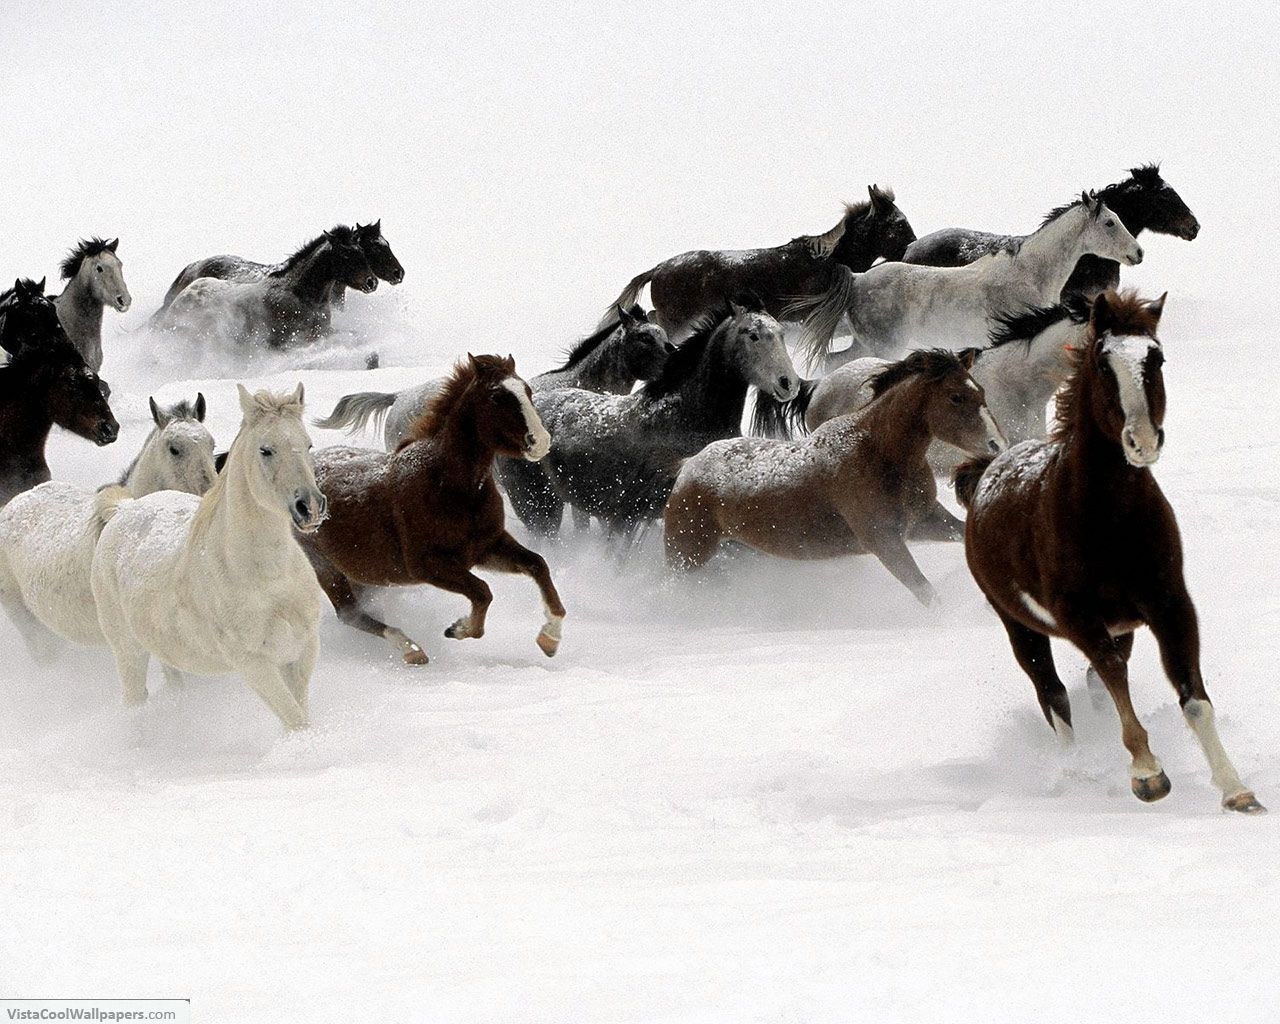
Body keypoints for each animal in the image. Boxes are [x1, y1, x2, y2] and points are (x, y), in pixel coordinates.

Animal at [91, 384, 326, 729]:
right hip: (128, 650)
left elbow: (301, 714)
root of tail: (123, 509)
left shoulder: (302, 650)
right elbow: (295, 721)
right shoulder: (254, 663)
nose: (309, 507)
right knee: (134, 699)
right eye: (265, 450)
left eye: (308, 444)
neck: (269, 578)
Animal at [296, 354, 565, 665]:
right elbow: (482, 592)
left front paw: (550, 638)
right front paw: (459, 629)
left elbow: (537, 565)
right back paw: (411, 649)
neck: (450, 487)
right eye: (497, 396)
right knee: (350, 614)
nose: (541, 441)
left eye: (527, 391)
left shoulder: (486, 547)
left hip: (362, 573)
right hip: (325, 567)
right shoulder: (427, 565)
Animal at [665, 349, 1005, 603]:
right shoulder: (884, 541)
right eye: (956, 396)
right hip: (686, 557)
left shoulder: (924, 522)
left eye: (981, 391)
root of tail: (688, 467)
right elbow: (926, 592)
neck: (878, 453)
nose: (997, 444)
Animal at [798, 192, 1142, 368]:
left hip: (866, 344)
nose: (1138, 253)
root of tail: (857, 281)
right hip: (883, 347)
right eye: (1110, 222)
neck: (1029, 275)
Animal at [955, 290, 1262, 814]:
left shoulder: (1170, 605)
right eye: (1102, 363)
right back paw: (1075, 771)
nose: (1143, 441)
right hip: (1019, 625)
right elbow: (1113, 676)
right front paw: (1148, 774)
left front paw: (1236, 790)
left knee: (1090, 686)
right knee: (1054, 695)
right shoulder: (1078, 616)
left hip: (1122, 625)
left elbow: (1192, 694)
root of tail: (985, 470)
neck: (1110, 519)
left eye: (1156, 358)